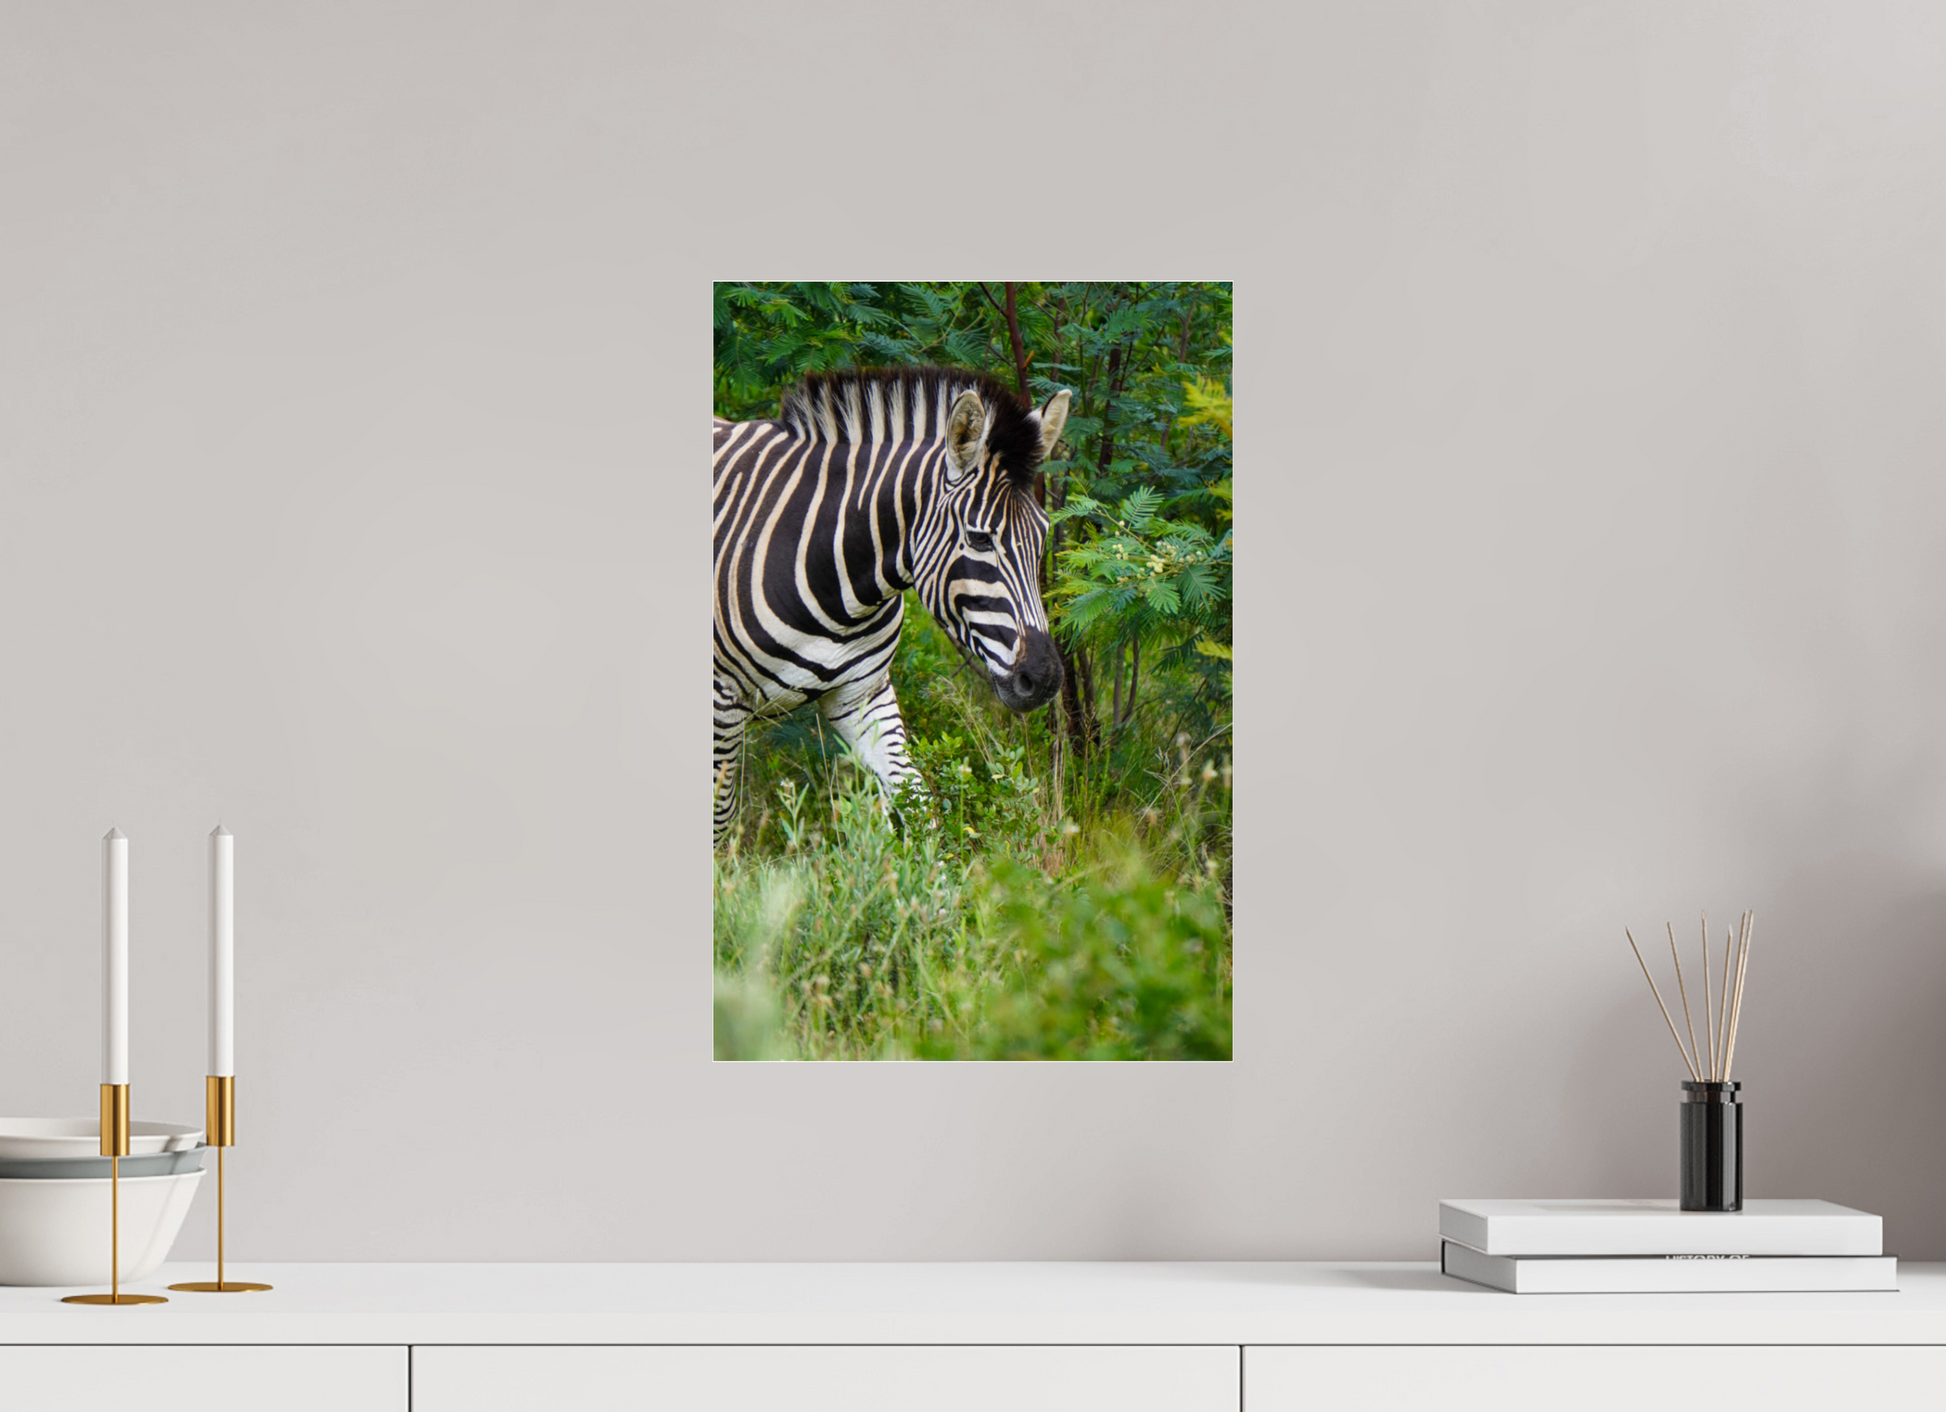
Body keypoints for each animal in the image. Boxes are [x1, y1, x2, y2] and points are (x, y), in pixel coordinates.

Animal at [713, 366, 1072, 846]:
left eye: (1043, 536)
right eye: (979, 539)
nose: (1046, 678)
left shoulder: (860, 695)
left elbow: (918, 802)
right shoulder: (722, 703)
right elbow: (720, 819)